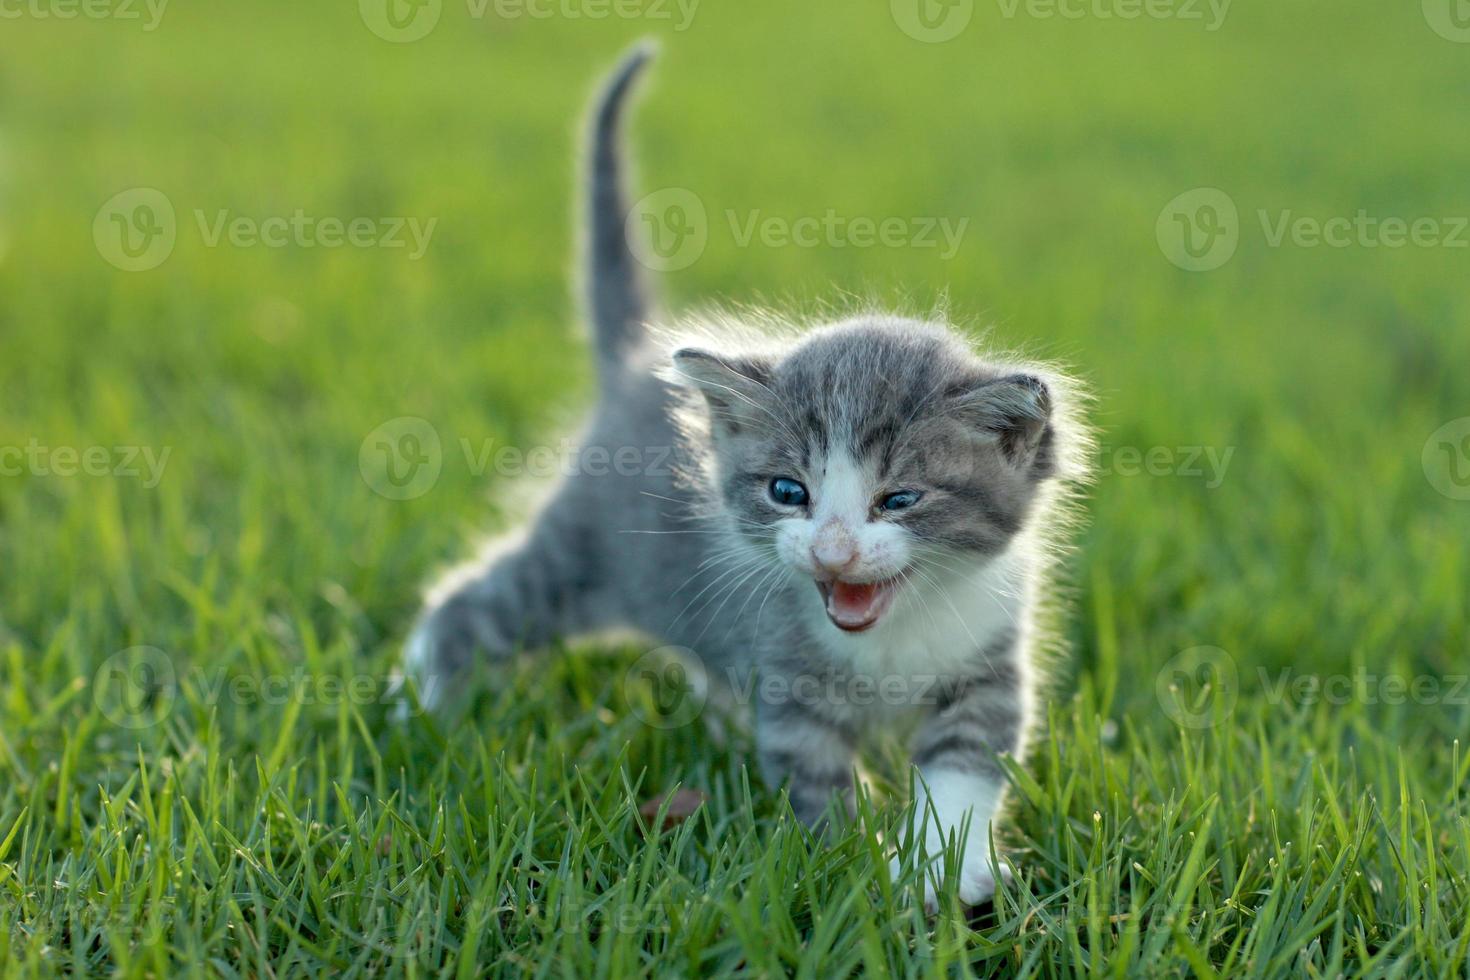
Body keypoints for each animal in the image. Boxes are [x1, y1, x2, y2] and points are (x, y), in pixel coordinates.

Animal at [396, 42, 1087, 910]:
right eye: (788, 492)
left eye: (898, 499)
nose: (831, 552)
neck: (893, 635)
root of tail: (635, 367)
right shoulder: (789, 682)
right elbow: (817, 780)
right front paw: (851, 870)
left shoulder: (990, 662)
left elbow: (966, 765)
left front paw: (941, 869)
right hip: (574, 557)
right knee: (472, 605)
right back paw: (414, 703)